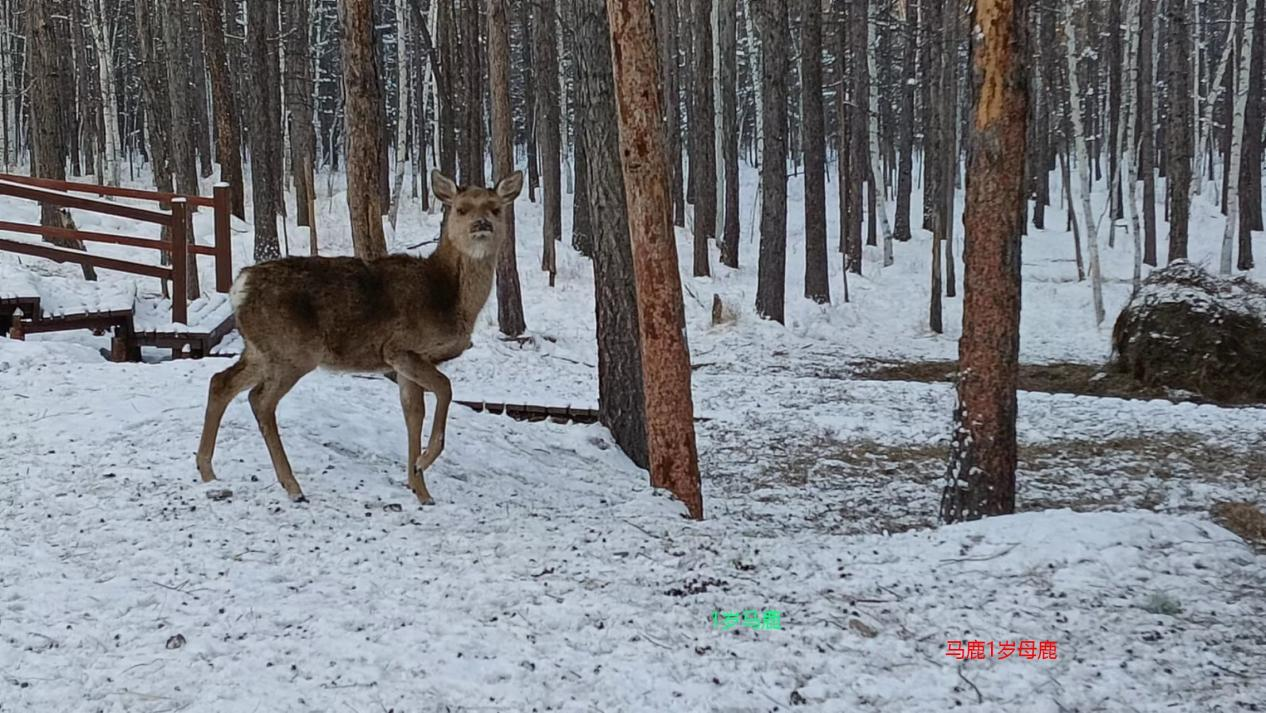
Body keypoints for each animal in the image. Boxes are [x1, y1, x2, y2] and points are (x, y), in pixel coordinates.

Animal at [195, 169, 524, 505]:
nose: (481, 224)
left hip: (260, 349)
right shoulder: (400, 348)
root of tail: (240, 287)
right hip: (292, 351)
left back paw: (207, 470)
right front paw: (423, 461)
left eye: (495, 208)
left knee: (221, 382)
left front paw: (420, 488)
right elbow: (445, 388)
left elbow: (413, 414)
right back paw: (292, 486)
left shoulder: (405, 365)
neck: (450, 298)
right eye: (461, 209)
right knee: (260, 400)